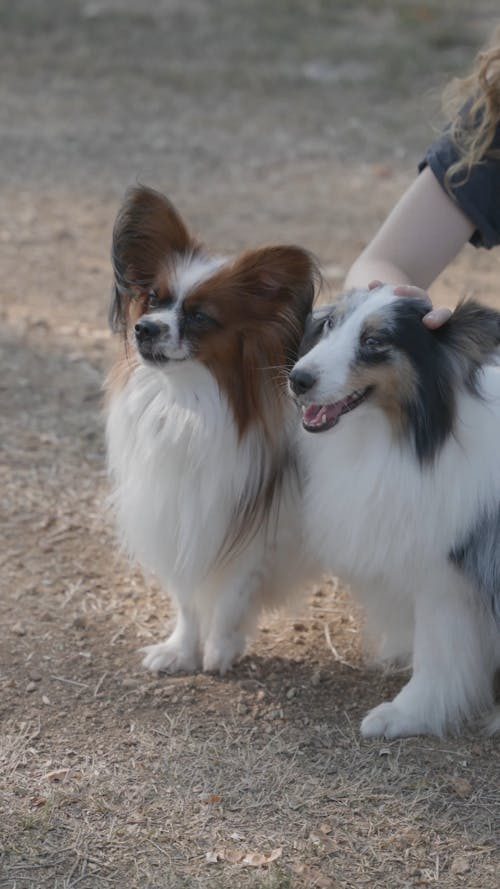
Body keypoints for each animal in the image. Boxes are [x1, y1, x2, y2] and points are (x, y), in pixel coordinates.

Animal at [106, 187, 320, 672]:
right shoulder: (181, 514)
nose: (144, 329)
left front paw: (221, 649)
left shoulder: (251, 531)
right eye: (152, 299)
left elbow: (232, 595)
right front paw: (181, 650)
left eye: (200, 317)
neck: (186, 403)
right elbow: (186, 598)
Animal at [290, 284, 500, 736]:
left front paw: (407, 713)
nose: (297, 379)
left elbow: (436, 653)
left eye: (374, 342)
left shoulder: (445, 576)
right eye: (331, 324)